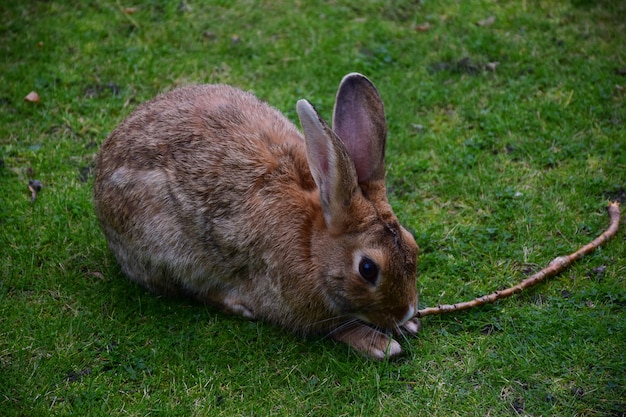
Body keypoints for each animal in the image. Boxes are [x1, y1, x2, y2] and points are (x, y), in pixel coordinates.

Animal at [94, 71, 420, 358]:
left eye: (413, 246)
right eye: (368, 269)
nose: (406, 312)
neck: (312, 244)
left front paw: (409, 326)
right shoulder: (290, 305)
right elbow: (335, 327)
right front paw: (380, 344)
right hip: (167, 251)